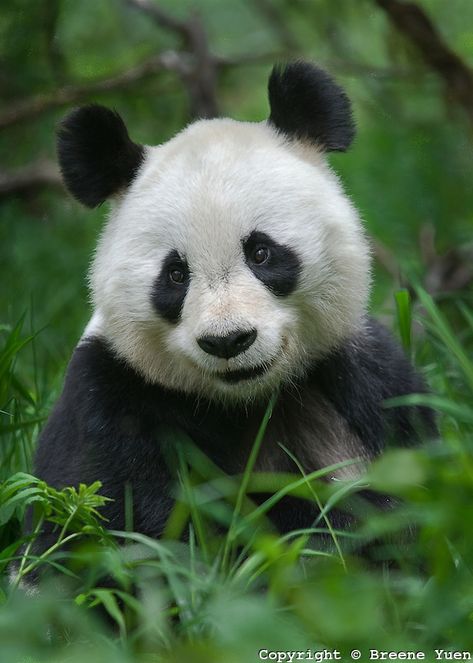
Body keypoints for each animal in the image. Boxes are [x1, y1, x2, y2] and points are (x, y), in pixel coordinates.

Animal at [33, 63, 434, 548]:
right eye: (176, 274)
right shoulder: (111, 398)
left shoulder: (361, 374)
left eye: (261, 253)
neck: (245, 401)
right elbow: (149, 523)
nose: (228, 341)